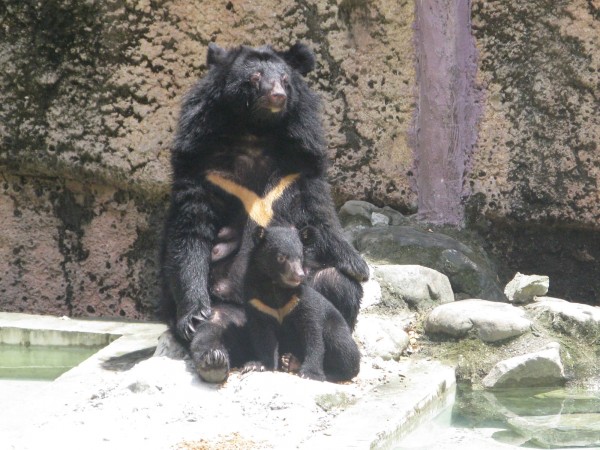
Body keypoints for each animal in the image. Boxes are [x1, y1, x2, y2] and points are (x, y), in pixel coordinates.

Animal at [241, 227, 358, 382]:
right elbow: (263, 335)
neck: (276, 288)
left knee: (342, 346)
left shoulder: (300, 300)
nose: (299, 275)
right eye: (281, 257)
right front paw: (258, 365)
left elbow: (313, 334)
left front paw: (310, 373)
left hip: (336, 325)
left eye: (300, 257)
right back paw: (290, 362)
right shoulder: (258, 303)